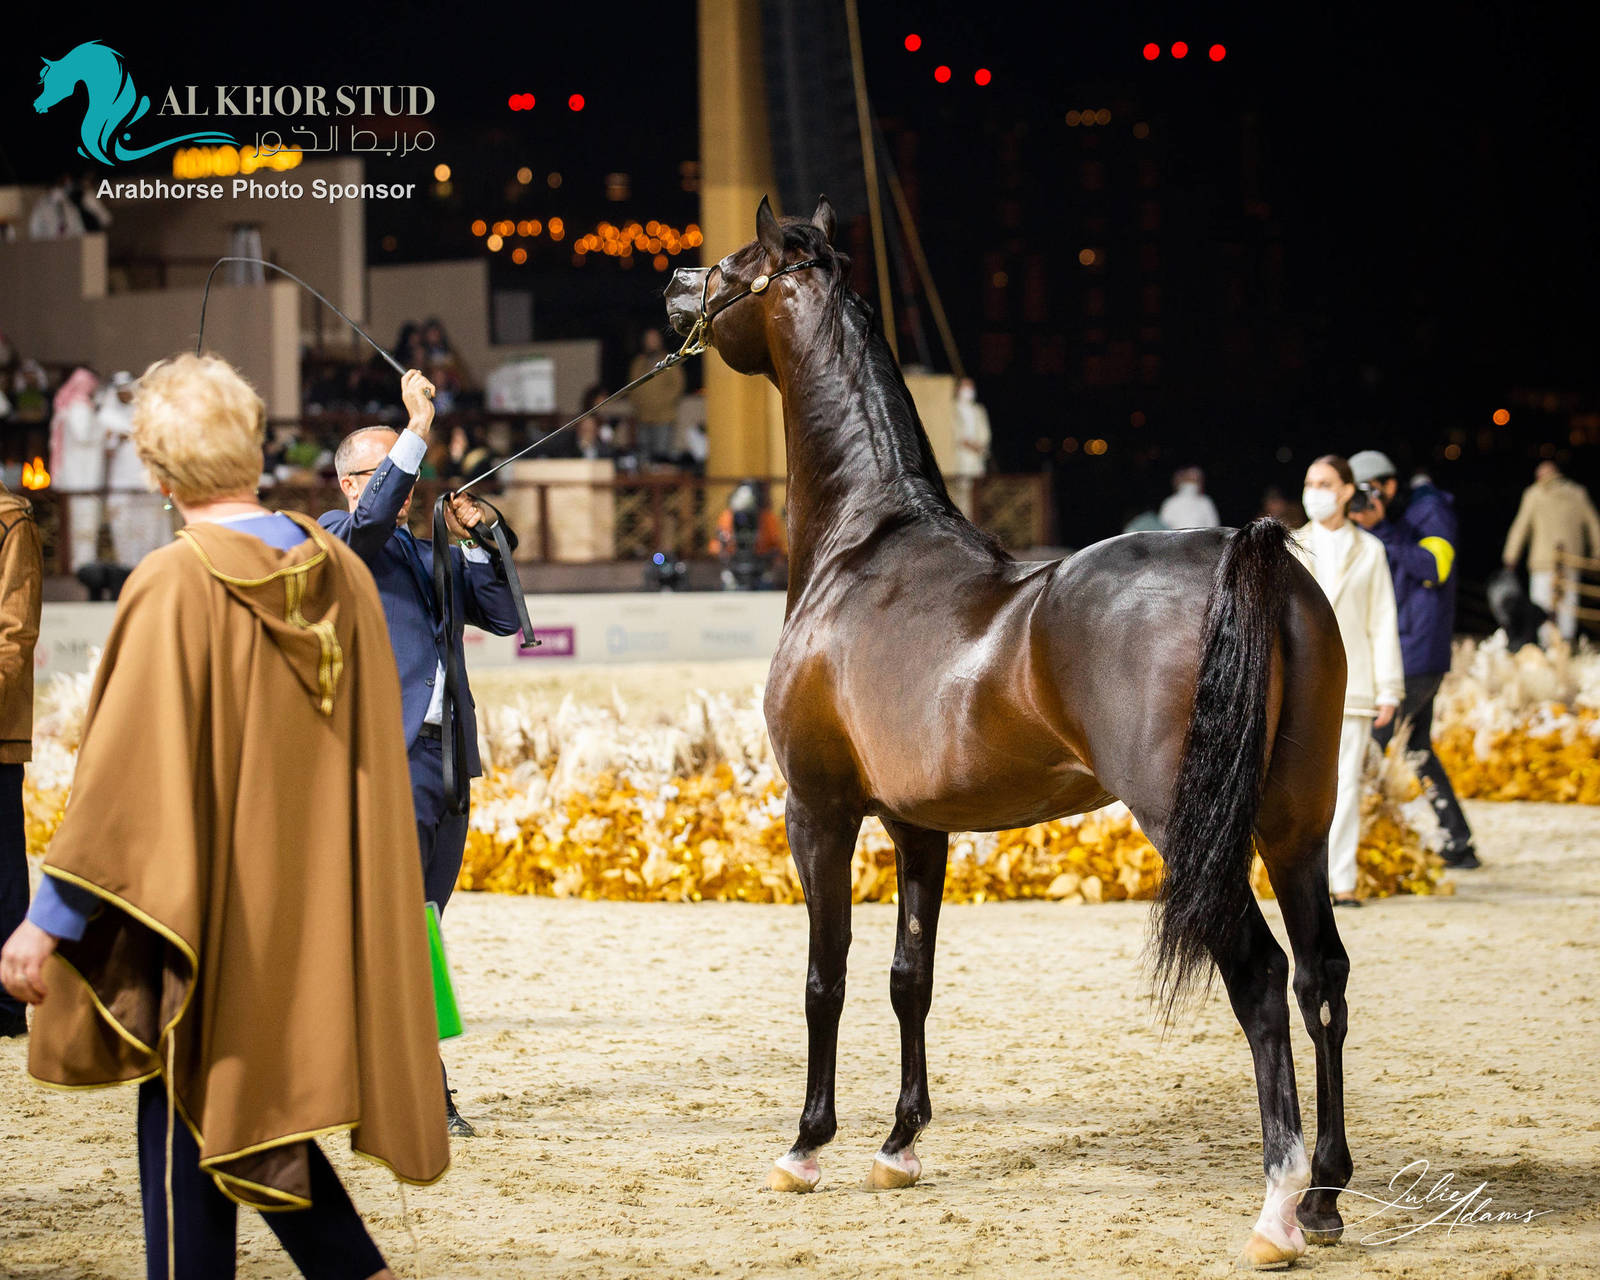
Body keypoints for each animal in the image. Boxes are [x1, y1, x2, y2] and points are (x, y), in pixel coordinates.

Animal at [665, 196, 1354, 1268]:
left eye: (738, 266)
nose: (675, 287)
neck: (862, 543)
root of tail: (1256, 555)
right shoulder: (919, 826)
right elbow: (909, 976)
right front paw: (899, 1146)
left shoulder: (816, 810)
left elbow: (827, 977)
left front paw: (807, 1146)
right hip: (1294, 824)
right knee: (1323, 975)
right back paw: (1324, 1194)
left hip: (1196, 831)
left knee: (1263, 976)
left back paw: (1278, 1209)